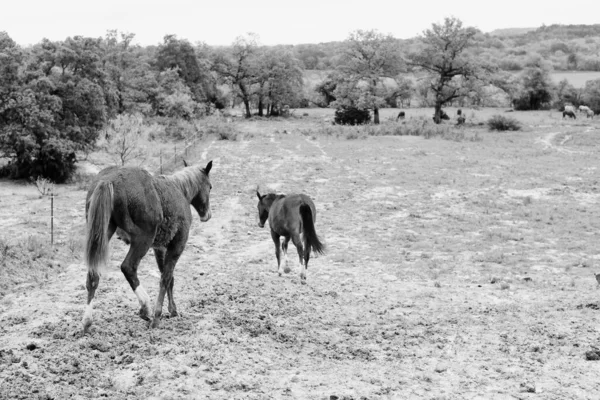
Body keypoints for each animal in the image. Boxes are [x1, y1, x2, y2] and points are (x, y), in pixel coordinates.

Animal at [82, 159, 213, 332]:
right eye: (210, 187)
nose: (207, 215)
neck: (179, 190)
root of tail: (108, 180)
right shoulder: (177, 245)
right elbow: (165, 278)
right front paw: (157, 316)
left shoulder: (160, 248)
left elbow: (169, 278)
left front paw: (173, 310)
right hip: (142, 240)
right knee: (128, 268)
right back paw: (146, 308)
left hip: (103, 235)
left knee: (93, 275)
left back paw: (87, 321)